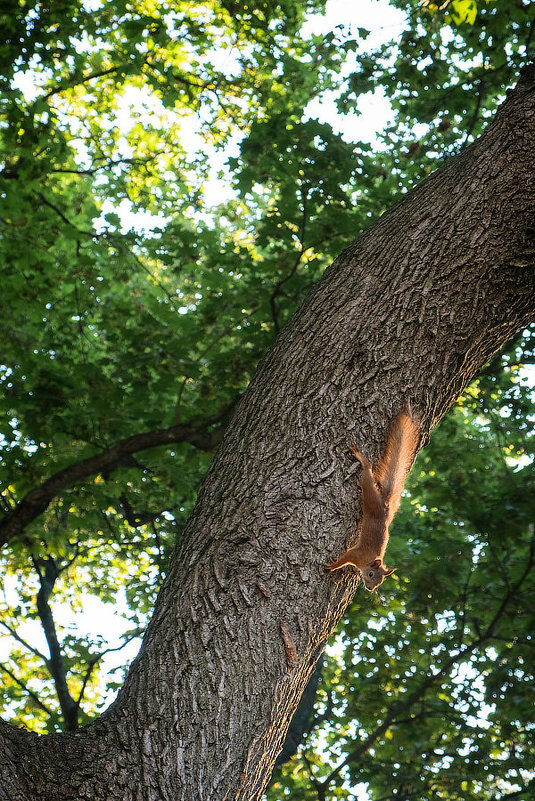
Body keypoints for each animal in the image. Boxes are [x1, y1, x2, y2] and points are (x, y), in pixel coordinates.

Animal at [326, 412, 418, 588]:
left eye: (379, 582)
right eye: (370, 574)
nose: (370, 588)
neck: (368, 561)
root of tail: (385, 506)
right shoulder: (356, 555)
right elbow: (344, 558)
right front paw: (333, 566)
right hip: (370, 496)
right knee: (368, 474)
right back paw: (362, 460)